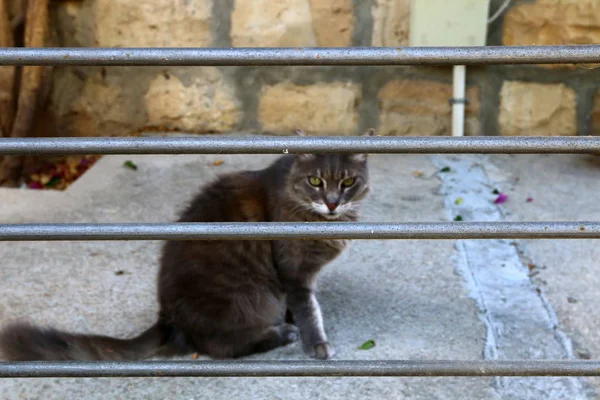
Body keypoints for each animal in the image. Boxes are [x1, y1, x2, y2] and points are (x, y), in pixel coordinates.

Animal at [0, 130, 372, 360]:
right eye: (315, 180)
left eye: (348, 182)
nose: (333, 202)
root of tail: (167, 315)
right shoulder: (293, 271)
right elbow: (309, 311)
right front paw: (317, 344)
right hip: (250, 297)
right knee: (222, 345)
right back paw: (281, 333)